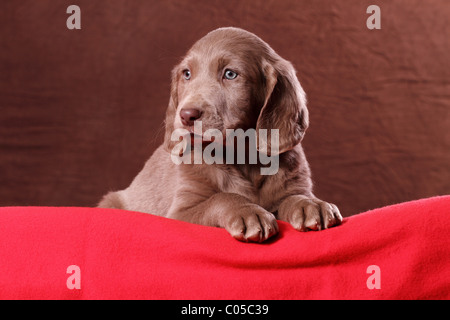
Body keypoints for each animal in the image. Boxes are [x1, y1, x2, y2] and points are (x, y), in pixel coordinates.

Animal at [100, 28, 342, 242]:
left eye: (230, 74)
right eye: (187, 74)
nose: (186, 115)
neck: (243, 156)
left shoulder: (293, 183)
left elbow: (294, 196)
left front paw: (310, 204)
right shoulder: (179, 213)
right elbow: (221, 198)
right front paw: (247, 212)